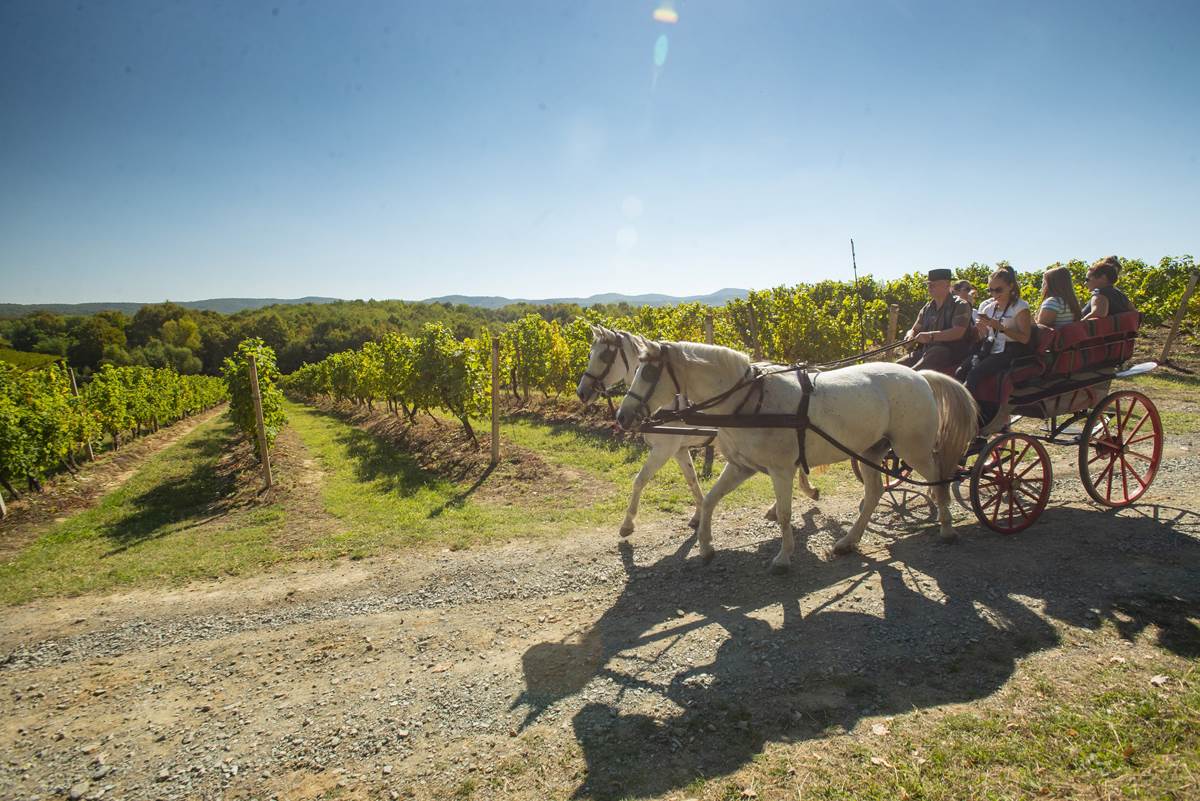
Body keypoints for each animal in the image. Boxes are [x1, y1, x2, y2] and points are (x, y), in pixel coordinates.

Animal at [571, 326, 816, 537]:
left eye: (603, 356)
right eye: (590, 353)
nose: (581, 392)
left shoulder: (664, 449)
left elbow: (640, 480)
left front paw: (627, 524)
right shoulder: (679, 450)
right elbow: (692, 480)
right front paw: (698, 515)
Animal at [614, 340, 979, 573]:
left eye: (649, 374)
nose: (622, 416)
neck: (749, 401)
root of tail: (920, 376)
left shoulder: (780, 470)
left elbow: (786, 514)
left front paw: (784, 557)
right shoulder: (741, 466)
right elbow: (709, 501)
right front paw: (705, 547)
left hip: (912, 449)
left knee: (938, 479)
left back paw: (947, 528)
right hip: (868, 451)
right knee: (875, 493)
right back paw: (848, 541)